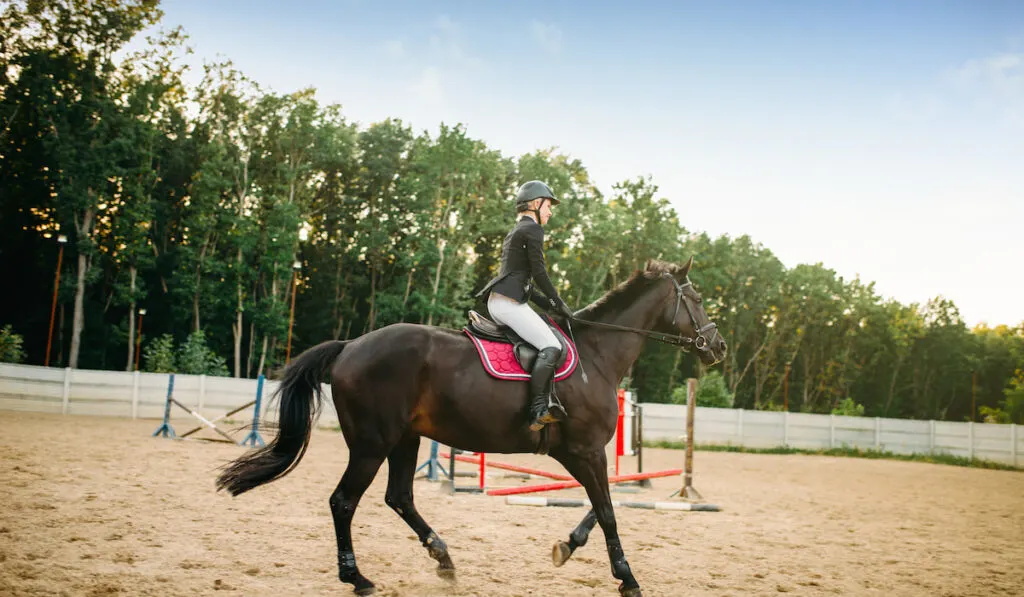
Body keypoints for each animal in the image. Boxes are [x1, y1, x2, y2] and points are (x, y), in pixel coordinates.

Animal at [216, 258, 729, 597]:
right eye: (698, 299)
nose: (718, 346)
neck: (597, 356)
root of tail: (349, 347)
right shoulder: (585, 450)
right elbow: (606, 511)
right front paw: (627, 578)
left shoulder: (578, 453)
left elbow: (600, 507)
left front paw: (566, 547)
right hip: (372, 443)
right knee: (344, 502)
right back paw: (357, 577)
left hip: (406, 439)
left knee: (399, 496)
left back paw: (443, 558)